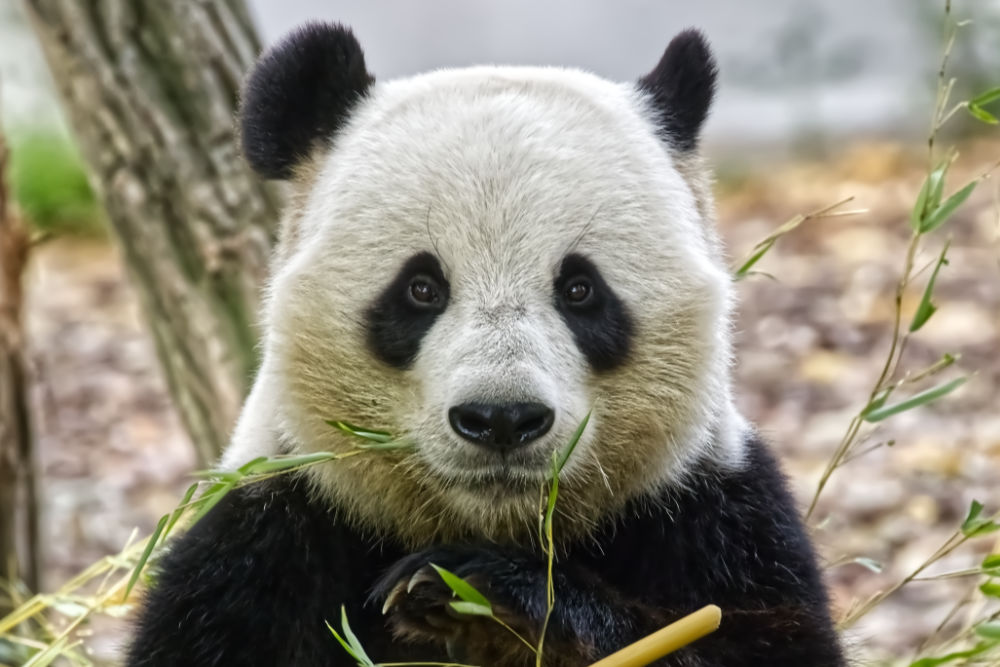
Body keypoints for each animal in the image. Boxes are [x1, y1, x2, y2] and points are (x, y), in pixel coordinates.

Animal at [123, 20, 844, 667]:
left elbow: (741, 638)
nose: (501, 419)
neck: (496, 521)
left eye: (580, 289)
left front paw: (487, 599)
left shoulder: (708, 512)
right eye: (421, 288)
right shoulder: (273, 528)